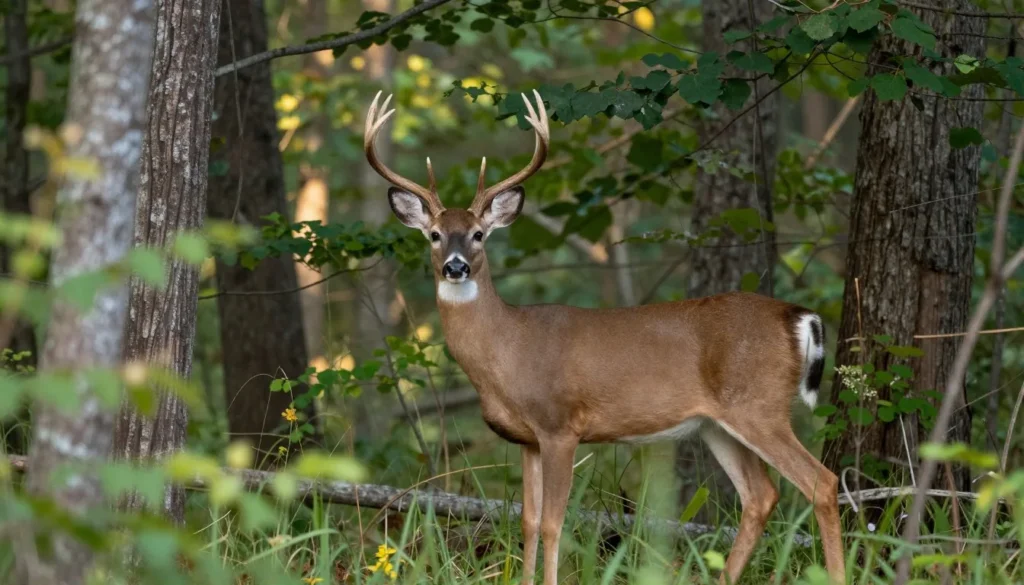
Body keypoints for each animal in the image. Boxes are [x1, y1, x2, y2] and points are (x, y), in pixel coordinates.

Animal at [363, 90, 845, 585]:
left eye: (478, 235)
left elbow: (554, 522)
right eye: (435, 235)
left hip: (760, 405)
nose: (455, 266)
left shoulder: (561, 425)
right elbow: (527, 520)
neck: (506, 350)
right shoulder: (527, 440)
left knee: (822, 483)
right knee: (760, 496)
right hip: (718, 424)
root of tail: (798, 316)